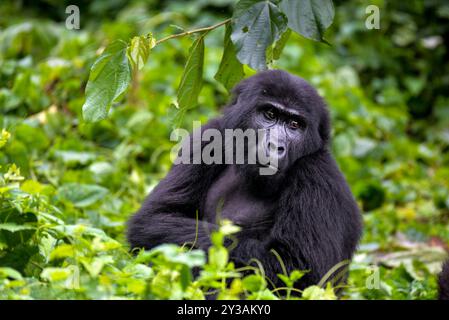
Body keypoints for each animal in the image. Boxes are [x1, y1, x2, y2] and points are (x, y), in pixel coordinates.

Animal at [125, 70, 360, 290]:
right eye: (270, 114)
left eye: (294, 124)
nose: (276, 146)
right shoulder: (210, 134)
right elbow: (156, 217)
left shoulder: (317, 173)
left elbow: (297, 268)